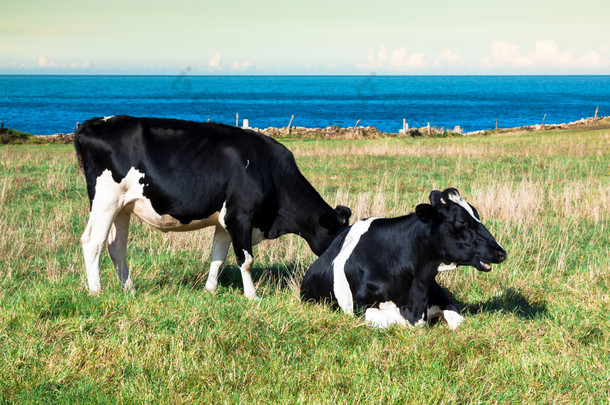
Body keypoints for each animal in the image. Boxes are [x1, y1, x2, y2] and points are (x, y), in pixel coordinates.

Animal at [75, 115, 350, 298]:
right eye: (338, 239)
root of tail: (94, 123)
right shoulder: (240, 216)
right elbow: (246, 259)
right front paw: (253, 296)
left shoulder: (224, 220)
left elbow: (218, 255)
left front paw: (210, 290)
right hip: (105, 200)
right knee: (93, 241)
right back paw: (96, 291)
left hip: (123, 206)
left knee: (116, 246)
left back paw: (130, 289)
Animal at [300, 187, 504, 328]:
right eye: (462, 221)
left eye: (476, 214)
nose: (501, 252)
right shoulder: (362, 308)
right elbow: (399, 321)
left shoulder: (442, 299)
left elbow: (459, 321)